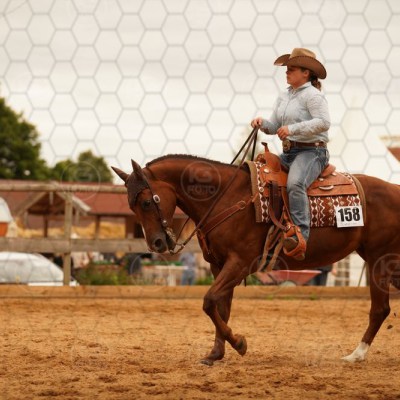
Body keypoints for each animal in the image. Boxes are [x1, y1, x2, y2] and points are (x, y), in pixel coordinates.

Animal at [112, 154, 400, 366]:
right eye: (131, 205)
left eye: (147, 202)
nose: (156, 244)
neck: (227, 197)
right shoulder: (219, 265)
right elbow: (221, 307)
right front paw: (215, 354)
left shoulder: (239, 263)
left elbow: (209, 301)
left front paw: (239, 343)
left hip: (379, 260)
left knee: (379, 309)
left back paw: (357, 354)